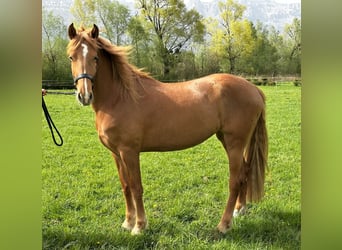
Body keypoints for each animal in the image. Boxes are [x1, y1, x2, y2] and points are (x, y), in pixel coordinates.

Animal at [68, 23, 268, 234]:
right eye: (71, 57)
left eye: (95, 57)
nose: (84, 95)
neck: (120, 97)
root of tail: (255, 89)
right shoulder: (116, 153)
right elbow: (126, 186)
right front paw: (128, 222)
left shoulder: (129, 152)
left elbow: (136, 187)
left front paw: (139, 226)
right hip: (228, 140)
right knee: (245, 172)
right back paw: (240, 210)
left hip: (234, 143)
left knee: (235, 180)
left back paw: (223, 224)